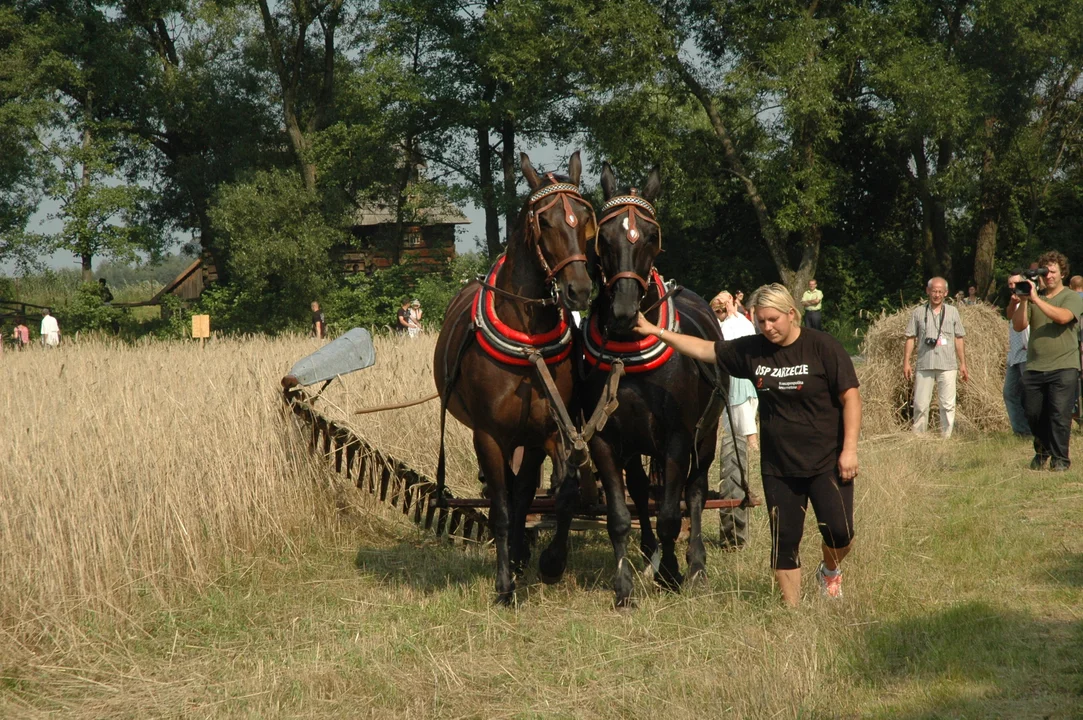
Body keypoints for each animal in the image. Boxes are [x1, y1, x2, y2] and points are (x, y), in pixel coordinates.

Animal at [433, 150, 593, 601]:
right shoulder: (489, 435)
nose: (579, 290)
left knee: (524, 490)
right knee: (505, 492)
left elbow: (561, 492)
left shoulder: (552, 430)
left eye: (584, 216)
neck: (529, 344)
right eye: (546, 220)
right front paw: (504, 585)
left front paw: (551, 562)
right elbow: (501, 507)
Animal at [580, 162, 723, 606]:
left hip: (706, 435)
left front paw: (674, 574)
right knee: (642, 492)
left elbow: (672, 513)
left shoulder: (678, 437)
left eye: (650, 236)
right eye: (602, 237)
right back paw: (648, 554)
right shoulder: (604, 438)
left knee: (694, 491)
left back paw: (696, 564)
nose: (625, 311)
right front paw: (624, 586)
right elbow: (620, 515)